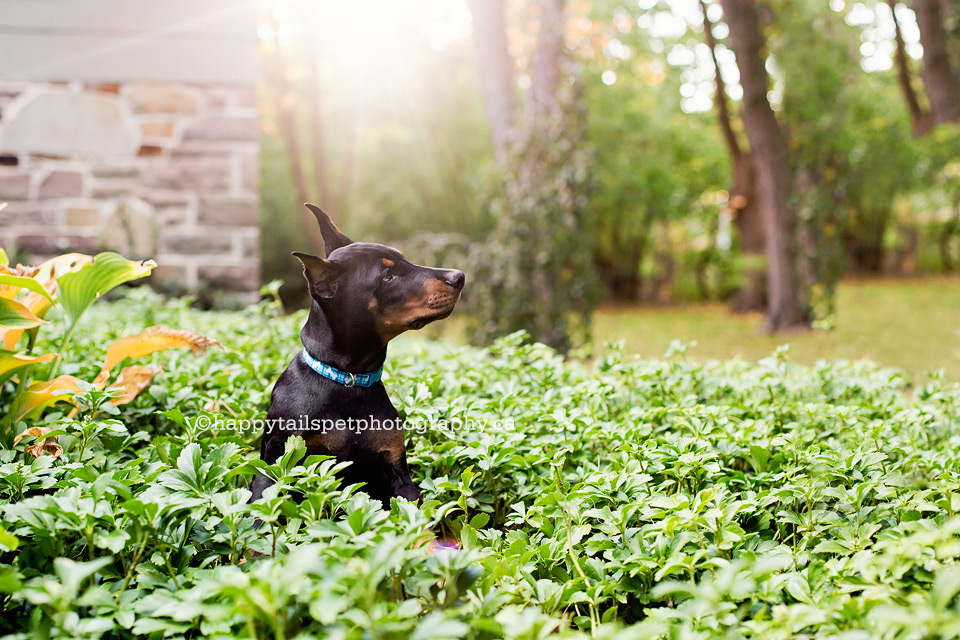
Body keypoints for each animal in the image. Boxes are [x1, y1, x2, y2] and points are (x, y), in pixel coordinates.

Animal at [248, 205, 464, 510]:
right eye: (388, 275)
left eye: (405, 261)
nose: (460, 277)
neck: (348, 380)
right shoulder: (277, 466)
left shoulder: (396, 467)